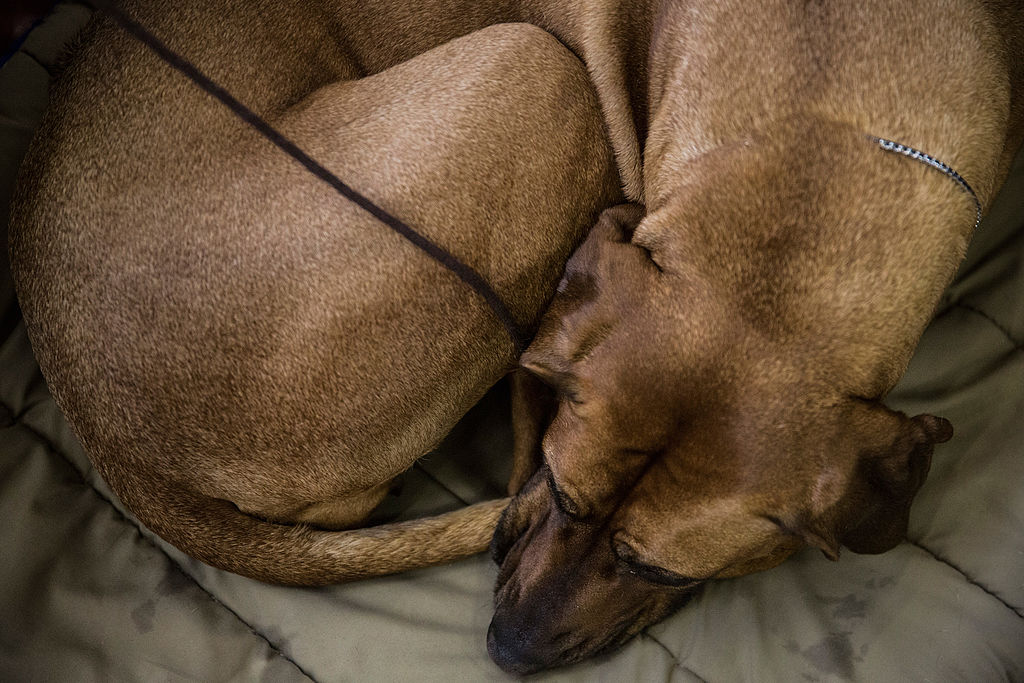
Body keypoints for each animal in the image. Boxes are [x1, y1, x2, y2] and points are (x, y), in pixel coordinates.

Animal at [8, 0, 1024, 679]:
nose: (504, 649)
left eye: (656, 567)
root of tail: (111, 438)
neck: (821, 132)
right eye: (566, 497)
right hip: (534, 66)